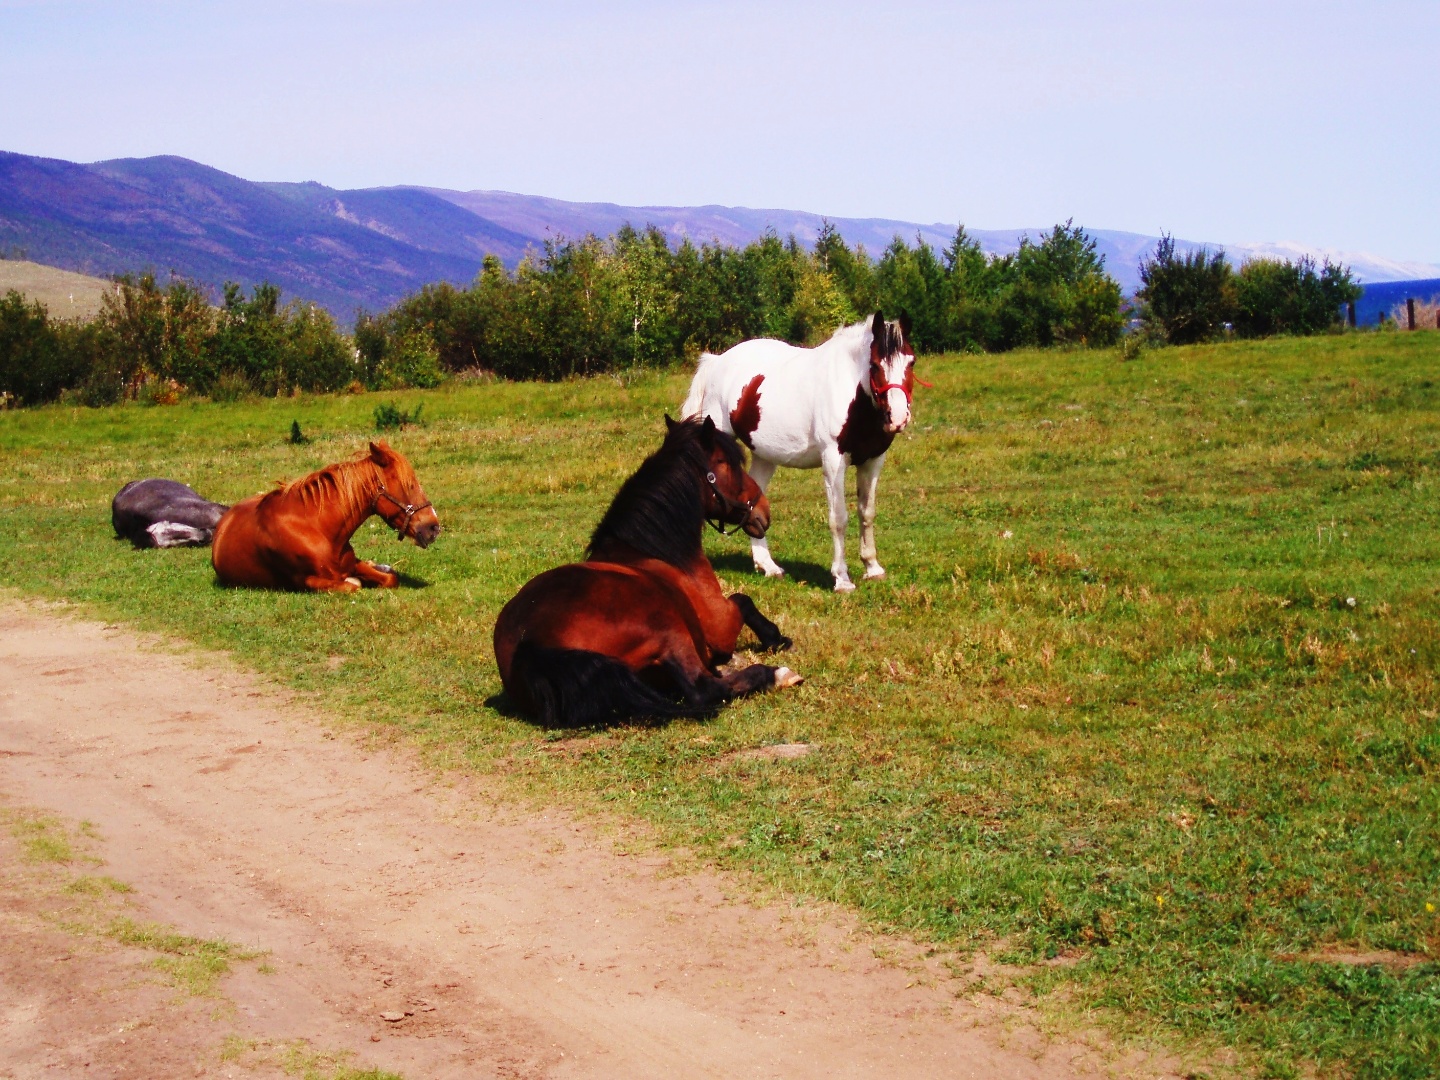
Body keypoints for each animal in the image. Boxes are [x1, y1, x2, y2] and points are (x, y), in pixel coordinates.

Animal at [210, 440, 437, 593]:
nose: (434, 527)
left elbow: (390, 579)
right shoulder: (307, 581)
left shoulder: (353, 564)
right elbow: (352, 585)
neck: (318, 529)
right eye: (409, 485)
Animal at [498, 417, 806, 731]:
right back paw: (775, 674)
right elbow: (743, 600)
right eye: (727, 464)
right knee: (704, 689)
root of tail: (529, 642)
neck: (651, 549)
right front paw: (776, 638)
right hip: (669, 629)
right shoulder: (720, 625)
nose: (763, 511)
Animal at [676, 308, 921, 596]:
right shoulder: (833, 460)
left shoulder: (872, 461)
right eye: (874, 365)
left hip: (764, 457)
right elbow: (839, 518)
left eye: (911, 362)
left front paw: (873, 568)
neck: (853, 392)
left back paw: (768, 566)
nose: (898, 417)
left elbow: (867, 512)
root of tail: (716, 362)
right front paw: (842, 579)